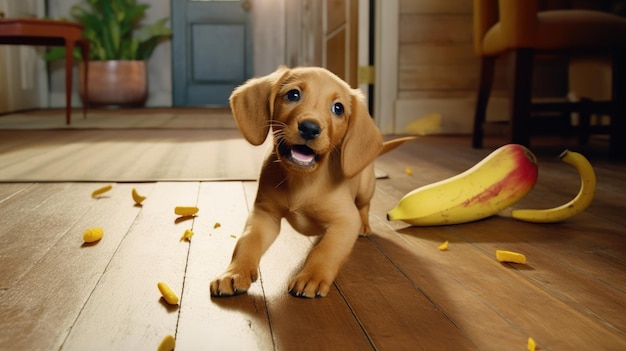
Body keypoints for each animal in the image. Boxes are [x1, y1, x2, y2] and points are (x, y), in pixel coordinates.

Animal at [212, 66, 412, 300]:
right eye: (293, 95)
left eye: (338, 108)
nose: (309, 128)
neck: (302, 180)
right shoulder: (264, 216)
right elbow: (246, 243)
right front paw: (234, 273)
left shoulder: (345, 221)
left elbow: (326, 251)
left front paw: (311, 276)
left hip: (365, 186)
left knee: (364, 206)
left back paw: (364, 225)